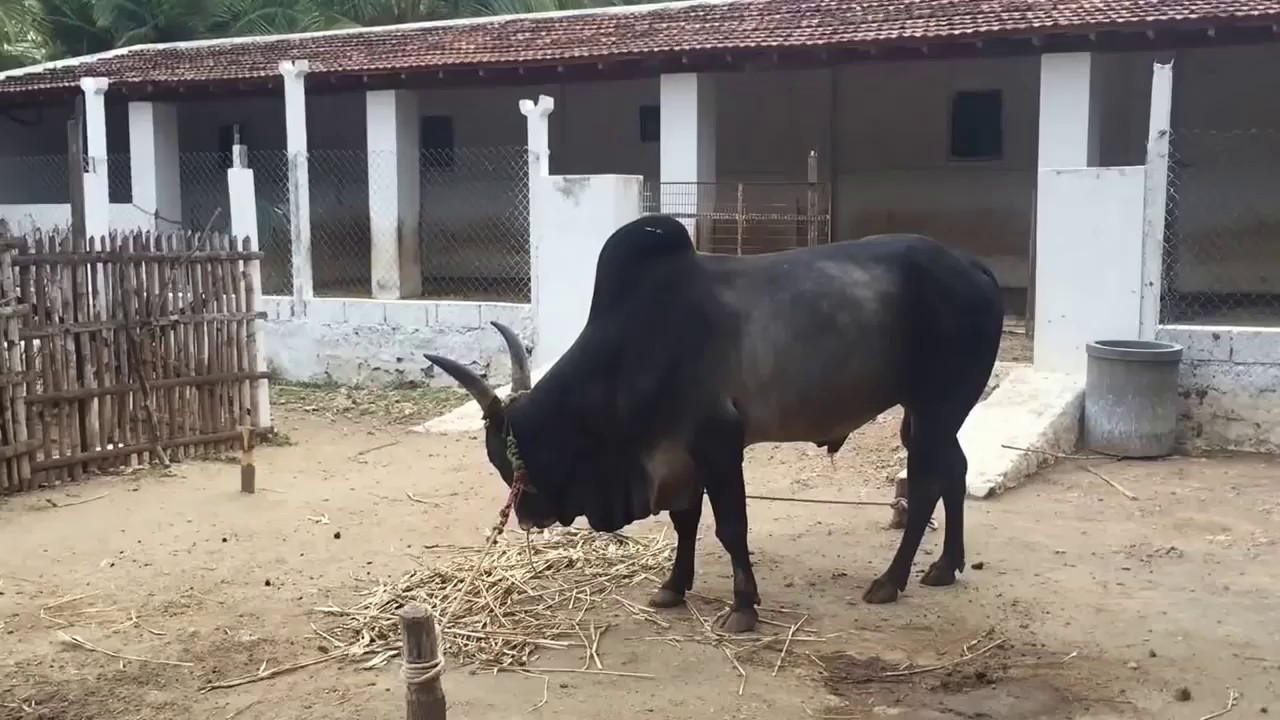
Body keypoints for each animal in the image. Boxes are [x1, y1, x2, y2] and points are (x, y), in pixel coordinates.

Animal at [423, 214, 1003, 633]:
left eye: (506, 454)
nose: (527, 517)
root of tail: (974, 266)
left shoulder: (718, 442)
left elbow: (730, 526)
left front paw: (744, 606)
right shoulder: (678, 456)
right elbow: (686, 522)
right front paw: (673, 588)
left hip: (936, 407)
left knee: (926, 483)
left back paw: (891, 580)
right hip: (928, 415)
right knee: (955, 470)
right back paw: (944, 566)